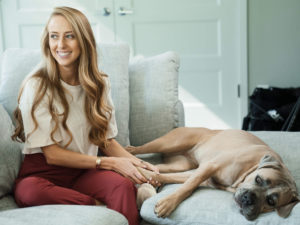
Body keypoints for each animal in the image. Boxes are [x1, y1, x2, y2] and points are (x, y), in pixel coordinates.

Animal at [126, 127, 300, 221]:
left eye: (271, 201)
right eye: (258, 179)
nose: (248, 198)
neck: (250, 167)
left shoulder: (198, 174)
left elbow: (183, 183)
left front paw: (149, 178)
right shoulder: (208, 167)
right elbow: (188, 185)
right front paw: (167, 203)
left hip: (180, 164)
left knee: (156, 167)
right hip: (170, 143)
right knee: (136, 150)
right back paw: (127, 155)